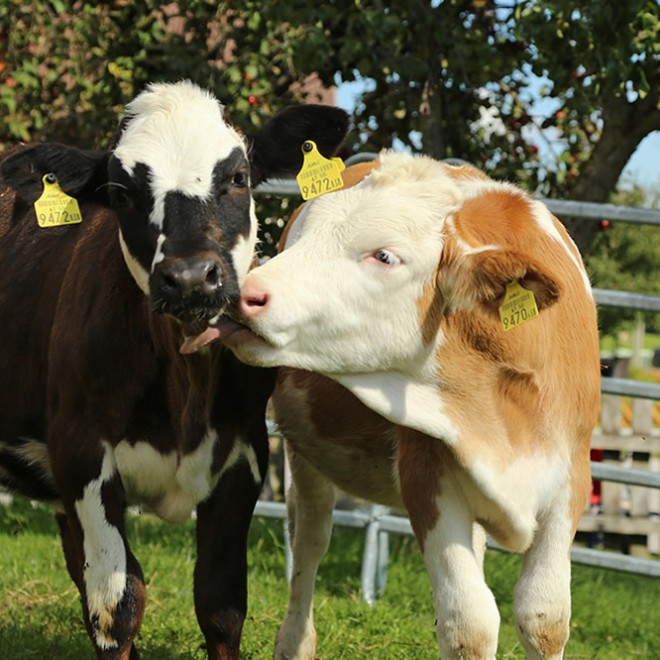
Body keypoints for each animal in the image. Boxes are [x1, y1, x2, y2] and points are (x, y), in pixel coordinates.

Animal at [0, 80, 350, 656]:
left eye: (237, 177)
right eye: (120, 193)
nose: (189, 277)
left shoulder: (244, 456)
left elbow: (221, 605)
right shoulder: (81, 453)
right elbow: (116, 604)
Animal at [223, 152, 604, 656]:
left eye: (384, 255)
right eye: (303, 240)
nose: (242, 294)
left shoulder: (571, 477)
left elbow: (544, 615)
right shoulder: (427, 473)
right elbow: (469, 623)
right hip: (304, 455)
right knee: (309, 539)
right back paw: (294, 643)